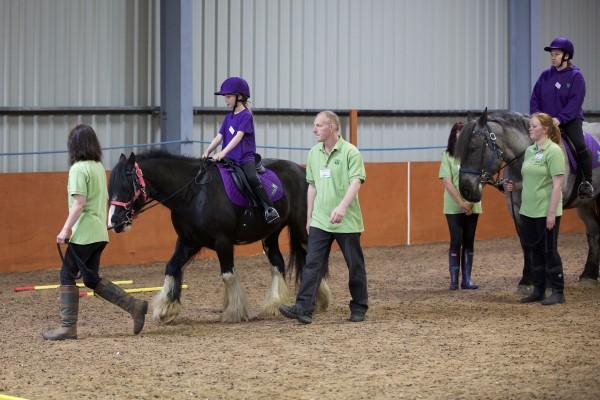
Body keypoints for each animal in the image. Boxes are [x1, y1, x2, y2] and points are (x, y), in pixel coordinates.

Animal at [454, 108, 600, 292]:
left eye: (474, 148)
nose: (465, 190)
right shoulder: (517, 208)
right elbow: (527, 243)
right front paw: (527, 281)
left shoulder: (552, 208)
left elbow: (549, 242)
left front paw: (549, 284)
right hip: (585, 205)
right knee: (594, 232)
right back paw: (589, 275)